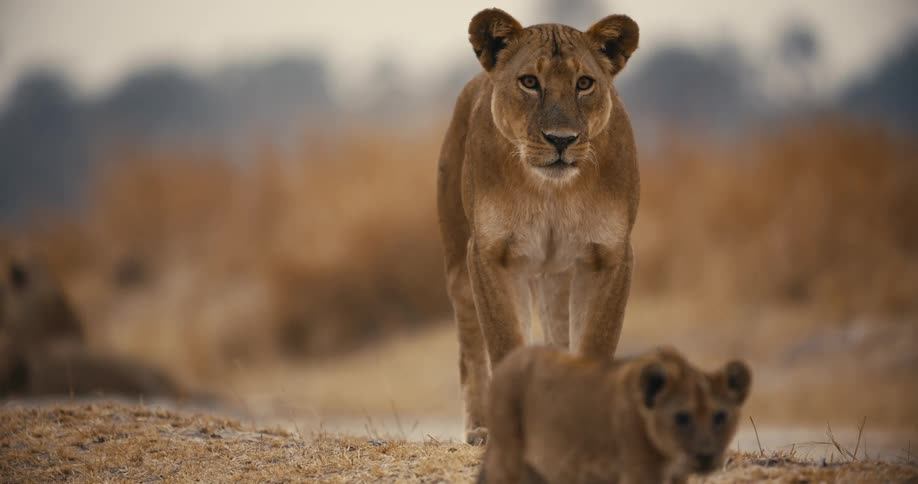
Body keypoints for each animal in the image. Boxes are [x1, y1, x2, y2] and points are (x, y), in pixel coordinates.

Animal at [437, 8, 640, 443]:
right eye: (529, 82)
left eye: (584, 83)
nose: (561, 139)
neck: (552, 192)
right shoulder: (489, 253)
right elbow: (504, 342)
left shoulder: (610, 255)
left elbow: (596, 342)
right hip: (459, 268)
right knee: (470, 352)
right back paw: (479, 427)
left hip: (555, 276)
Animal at [478, 346, 752, 484]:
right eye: (681, 417)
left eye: (720, 416)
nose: (706, 456)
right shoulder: (640, 472)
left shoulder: (677, 477)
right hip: (508, 458)